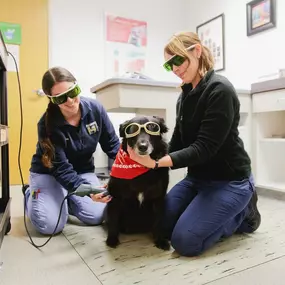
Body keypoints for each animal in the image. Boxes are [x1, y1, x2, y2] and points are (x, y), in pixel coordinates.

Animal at [105, 114, 170, 250]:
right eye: (133, 129)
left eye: (153, 127)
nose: (143, 147)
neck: (139, 167)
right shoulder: (114, 197)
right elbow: (113, 220)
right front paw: (112, 239)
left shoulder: (159, 198)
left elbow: (158, 222)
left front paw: (160, 240)